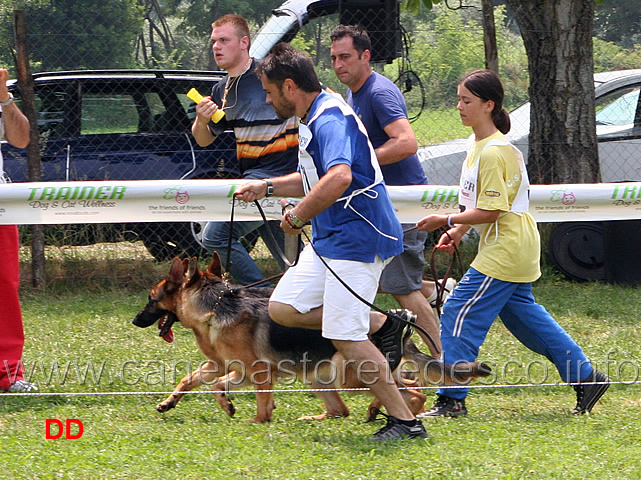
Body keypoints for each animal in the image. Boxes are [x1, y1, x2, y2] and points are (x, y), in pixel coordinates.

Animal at [132, 253, 488, 422]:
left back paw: (389, 409)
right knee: (344, 409)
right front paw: (168, 402)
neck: (217, 304)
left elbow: (226, 390)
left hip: (349, 373)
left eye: (151, 299)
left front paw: (252, 418)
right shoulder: (219, 365)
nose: (135, 320)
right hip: (319, 376)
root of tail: (399, 325)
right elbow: (189, 379)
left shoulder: (253, 371)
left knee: (412, 389)